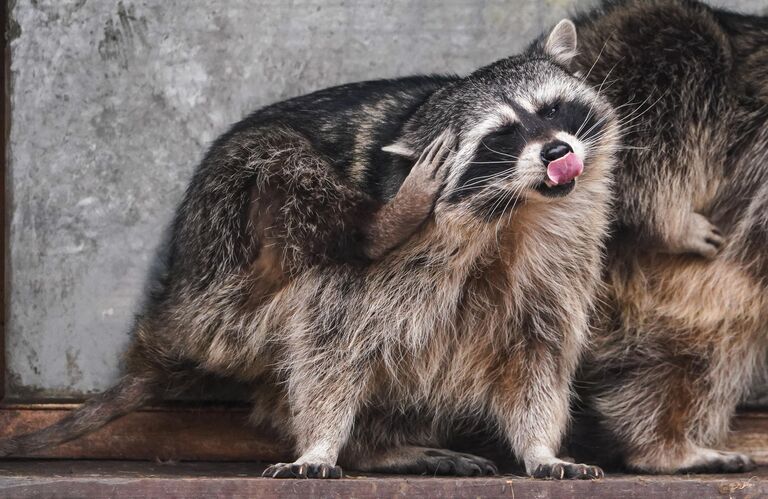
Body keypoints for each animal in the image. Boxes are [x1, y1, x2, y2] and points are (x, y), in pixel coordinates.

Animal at [0, 20, 616, 480]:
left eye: (552, 110)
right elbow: (332, 344)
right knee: (282, 163)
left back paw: (384, 446)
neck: (515, 211)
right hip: (224, 253)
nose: (557, 152)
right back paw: (373, 229)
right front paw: (320, 442)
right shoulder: (380, 271)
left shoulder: (559, 260)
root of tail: (174, 309)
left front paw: (540, 448)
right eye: (500, 137)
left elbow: (537, 352)